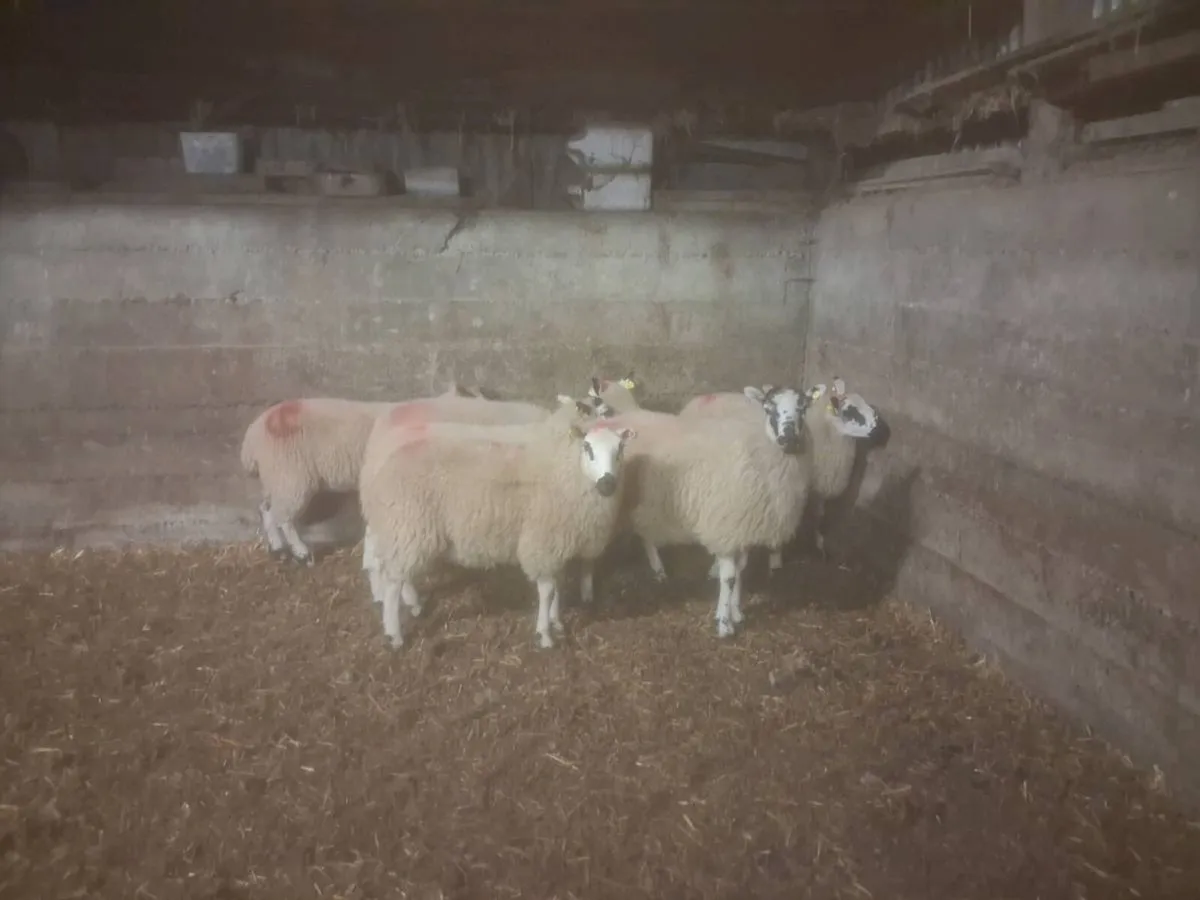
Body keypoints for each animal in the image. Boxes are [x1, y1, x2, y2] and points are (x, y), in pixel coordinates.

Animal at [240, 384, 551, 565]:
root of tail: (252, 437)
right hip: (291, 476)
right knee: (284, 517)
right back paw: (300, 552)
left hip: (277, 478)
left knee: (267, 510)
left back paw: (277, 549)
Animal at [358, 396, 635, 649]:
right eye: (588, 448)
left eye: (620, 449)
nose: (607, 484)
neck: (565, 471)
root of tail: (384, 466)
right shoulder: (542, 541)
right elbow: (547, 591)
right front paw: (544, 634)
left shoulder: (559, 544)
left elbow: (557, 584)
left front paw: (556, 621)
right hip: (408, 529)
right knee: (393, 581)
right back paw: (394, 632)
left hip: (398, 530)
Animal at [597, 385, 813, 638]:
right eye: (769, 408)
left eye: (803, 407)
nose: (788, 439)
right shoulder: (725, 526)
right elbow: (729, 577)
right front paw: (723, 623)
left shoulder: (744, 526)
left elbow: (741, 570)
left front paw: (736, 612)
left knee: (645, 535)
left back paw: (658, 570)